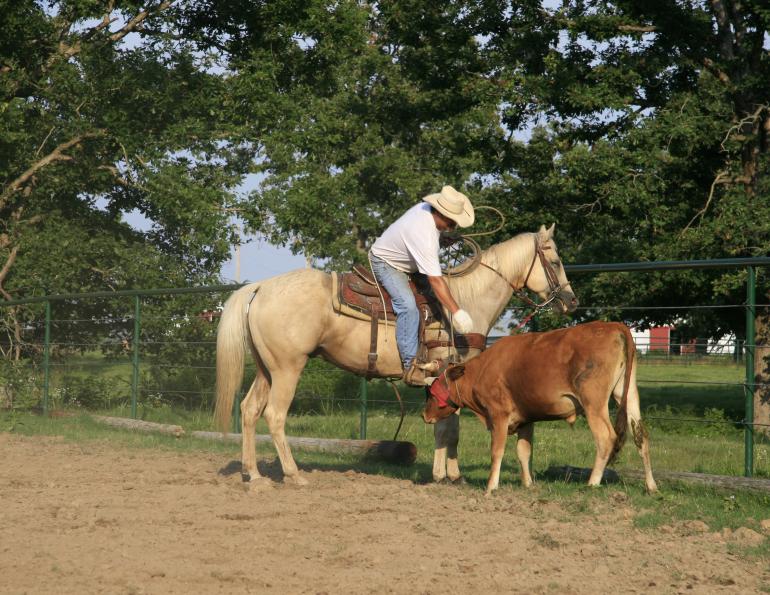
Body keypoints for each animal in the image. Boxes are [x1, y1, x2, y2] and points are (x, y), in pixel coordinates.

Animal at [214, 224, 578, 487]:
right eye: (555, 261)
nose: (571, 301)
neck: (463, 301)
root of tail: (260, 288)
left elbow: (447, 427)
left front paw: (449, 474)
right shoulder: (449, 370)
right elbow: (448, 428)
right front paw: (445, 476)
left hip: (267, 369)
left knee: (249, 410)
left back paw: (254, 474)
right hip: (288, 368)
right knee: (275, 415)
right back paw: (293, 474)